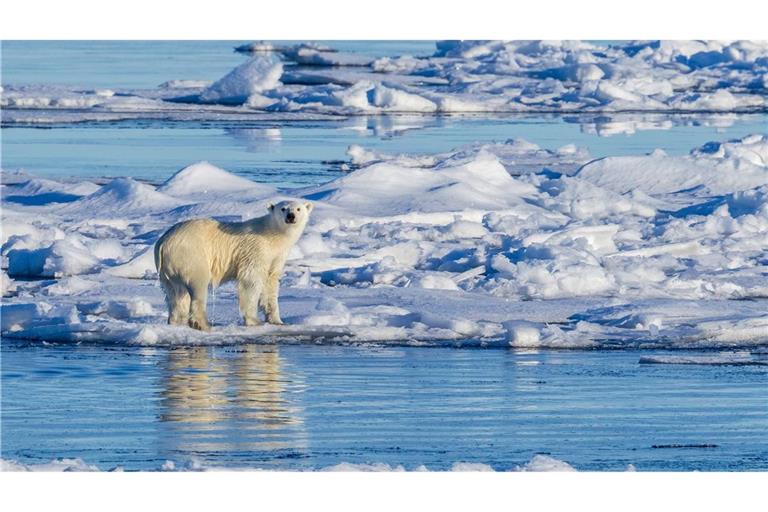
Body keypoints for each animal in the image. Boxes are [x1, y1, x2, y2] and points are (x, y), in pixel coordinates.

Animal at [153, 198, 312, 330]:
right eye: (283, 208)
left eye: (298, 209)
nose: (291, 216)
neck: (272, 235)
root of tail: (163, 242)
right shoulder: (256, 250)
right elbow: (251, 281)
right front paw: (254, 321)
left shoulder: (276, 257)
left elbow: (270, 283)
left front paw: (277, 320)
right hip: (191, 254)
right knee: (197, 284)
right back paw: (203, 324)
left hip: (169, 268)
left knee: (175, 294)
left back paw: (176, 321)